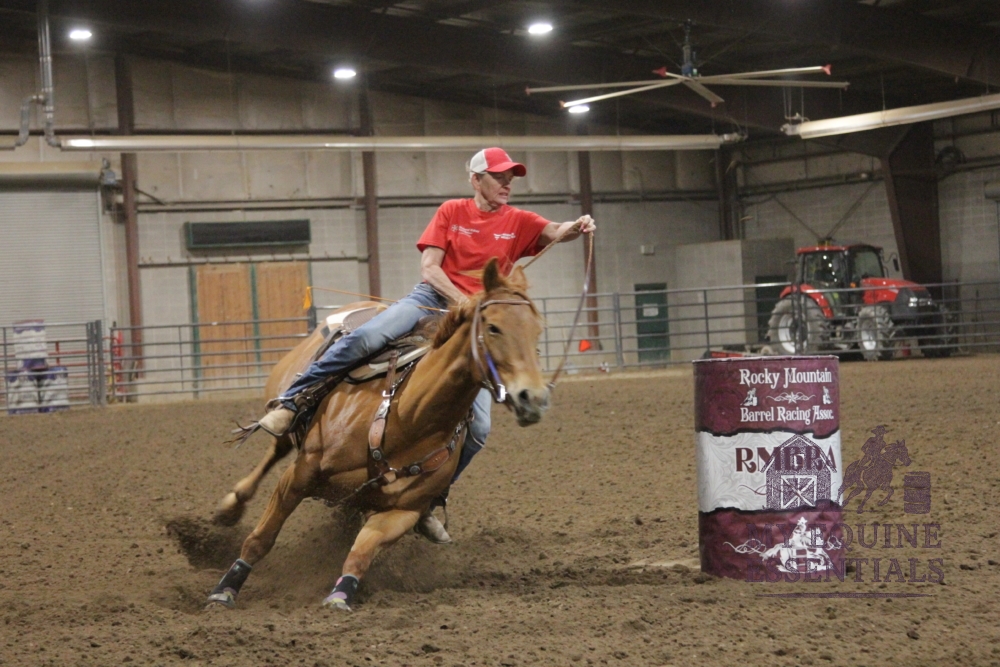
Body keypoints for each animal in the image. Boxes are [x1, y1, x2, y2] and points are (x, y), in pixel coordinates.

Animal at [206, 259, 550, 611]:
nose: (533, 397)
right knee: (276, 446)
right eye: (494, 327)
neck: (407, 418)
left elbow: (361, 553)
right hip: (289, 417)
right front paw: (225, 590)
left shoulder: (402, 512)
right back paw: (231, 506)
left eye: (537, 330)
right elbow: (261, 539)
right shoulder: (301, 473)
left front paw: (340, 596)